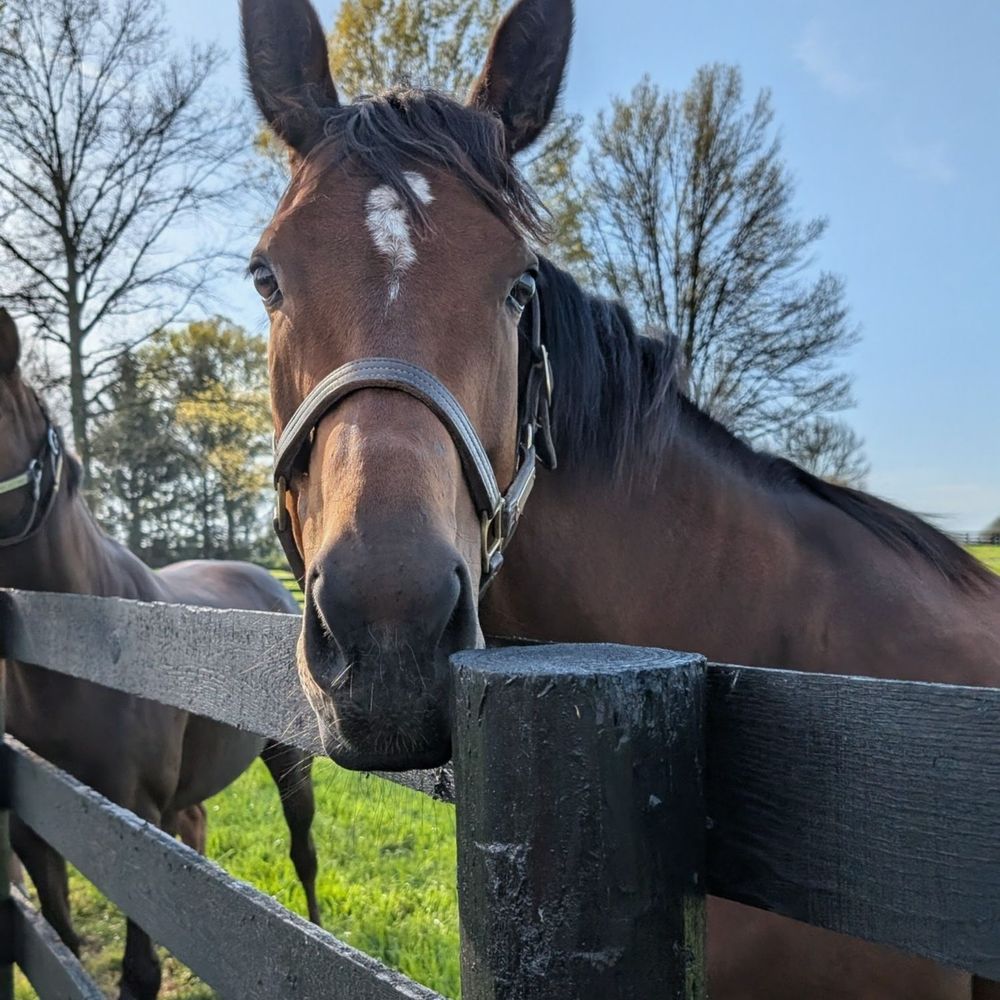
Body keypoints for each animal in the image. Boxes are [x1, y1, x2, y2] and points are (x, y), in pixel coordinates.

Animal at [0, 308, 321, 999]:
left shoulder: (133, 821)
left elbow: (139, 971)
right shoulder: (37, 822)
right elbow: (62, 944)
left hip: (290, 759)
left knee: (304, 854)